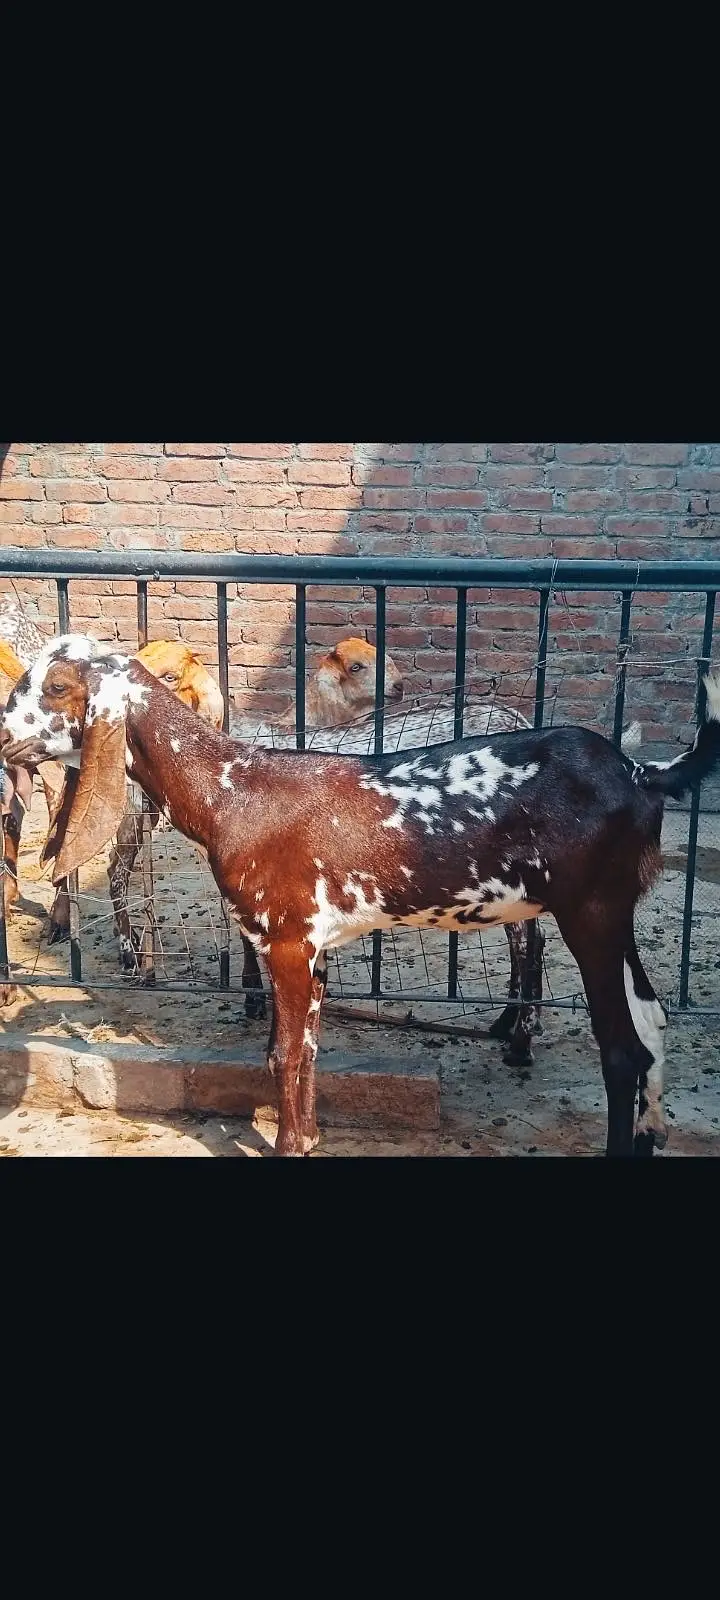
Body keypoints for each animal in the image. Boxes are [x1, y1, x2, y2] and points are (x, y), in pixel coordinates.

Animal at [4, 633, 719, 1157]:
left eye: (58, 686)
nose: (5, 736)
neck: (233, 790)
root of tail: (640, 772)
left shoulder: (286, 940)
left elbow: (284, 1054)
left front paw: (288, 1145)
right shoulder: (311, 946)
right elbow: (302, 1048)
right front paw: (310, 1136)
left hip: (589, 912)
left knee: (623, 1049)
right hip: (615, 911)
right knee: (654, 1019)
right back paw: (650, 1134)